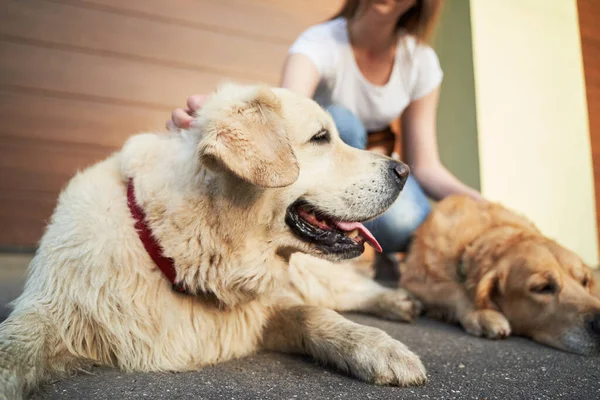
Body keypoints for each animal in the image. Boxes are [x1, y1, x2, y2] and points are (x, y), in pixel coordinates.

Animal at [400, 195, 600, 354]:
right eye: (543, 288)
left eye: (584, 281)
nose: (599, 322)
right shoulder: (413, 281)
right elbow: (454, 289)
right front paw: (482, 314)